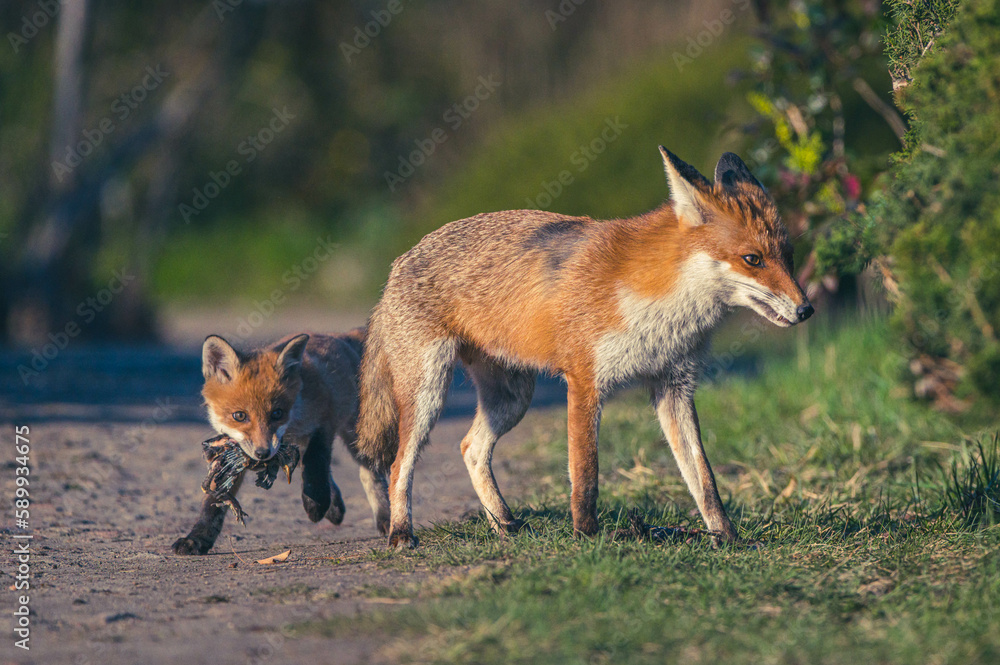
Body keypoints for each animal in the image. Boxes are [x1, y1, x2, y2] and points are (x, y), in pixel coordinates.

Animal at [172, 330, 390, 552]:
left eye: (277, 413)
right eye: (239, 416)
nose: (262, 453)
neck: (293, 421)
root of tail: (340, 335)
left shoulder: (325, 420)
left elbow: (316, 460)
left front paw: (316, 503)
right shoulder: (234, 453)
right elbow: (213, 501)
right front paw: (197, 538)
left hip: (357, 433)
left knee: (370, 475)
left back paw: (384, 518)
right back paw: (335, 508)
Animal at [360, 149, 812, 544]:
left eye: (788, 256)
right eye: (752, 259)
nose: (806, 309)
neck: (661, 306)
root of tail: (398, 263)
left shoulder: (674, 385)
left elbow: (704, 479)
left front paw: (727, 539)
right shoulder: (584, 380)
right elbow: (586, 474)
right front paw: (587, 537)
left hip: (512, 398)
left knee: (471, 448)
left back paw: (505, 525)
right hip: (429, 393)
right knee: (399, 465)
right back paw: (401, 534)